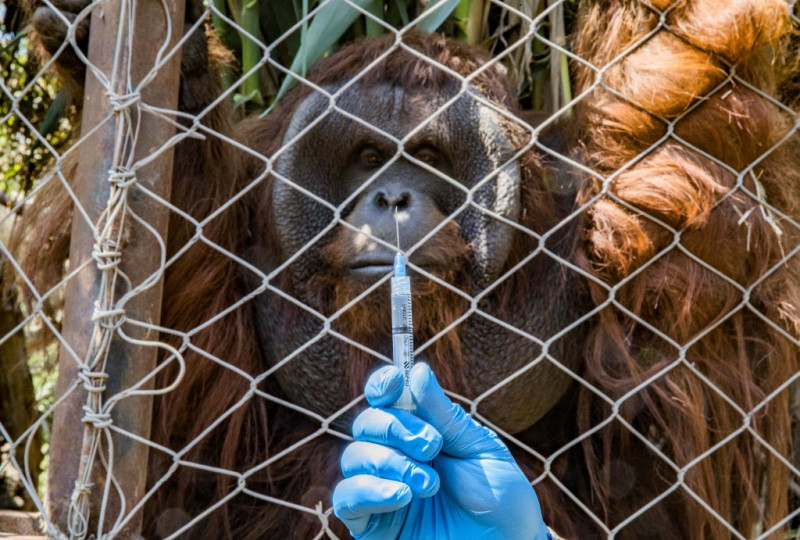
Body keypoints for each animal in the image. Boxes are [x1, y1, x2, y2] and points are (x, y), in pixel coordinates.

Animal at [14, 0, 800, 538]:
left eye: (424, 154)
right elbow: (184, 419)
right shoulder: (236, 246)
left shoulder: (626, 231)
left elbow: (685, 114)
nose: (391, 197)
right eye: (367, 156)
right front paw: (140, 56)